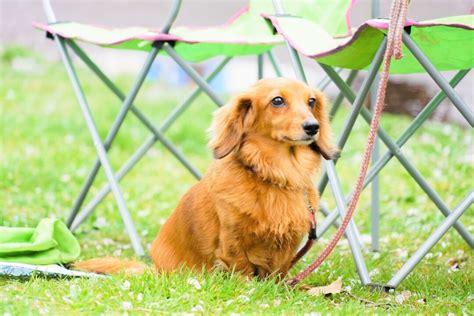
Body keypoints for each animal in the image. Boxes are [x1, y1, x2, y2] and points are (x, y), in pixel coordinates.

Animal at [73, 78, 334, 278]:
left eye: (311, 101)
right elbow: (242, 268)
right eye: (277, 100)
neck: (275, 174)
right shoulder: (231, 238)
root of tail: (154, 269)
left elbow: (278, 273)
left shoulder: (287, 247)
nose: (313, 126)